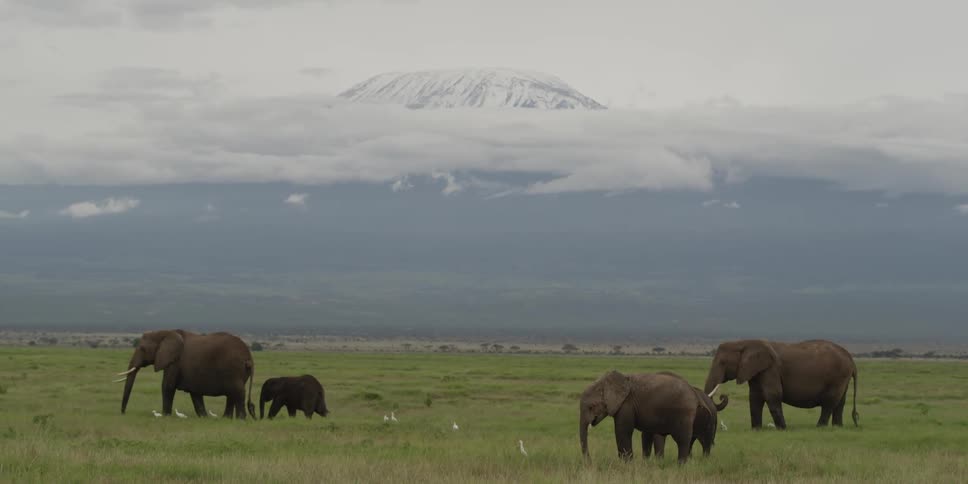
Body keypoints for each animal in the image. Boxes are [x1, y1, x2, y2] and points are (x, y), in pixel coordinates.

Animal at [115, 329, 256, 419]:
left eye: (142, 349)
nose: (123, 413)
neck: (164, 332)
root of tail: (249, 357)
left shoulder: (175, 362)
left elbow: (167, 386)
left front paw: (165, 416)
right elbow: (195, 394)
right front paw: (204, 418)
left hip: (234, 370)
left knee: (238, 392)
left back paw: (240, 419)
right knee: (232, 394)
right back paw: (226, 419)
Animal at [703, 339, 858, 430]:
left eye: (722, 363)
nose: (723, 396)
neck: (744, 343)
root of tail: (851, 359)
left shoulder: (771, 369)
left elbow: (772, 395)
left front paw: (782, 429)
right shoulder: (757, 371)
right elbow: (755, 398)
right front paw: (756, 429)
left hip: (838, 376)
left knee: (829, 402)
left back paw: (820, 427)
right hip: (842, 377)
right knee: (840, 403)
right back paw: (838, 427)